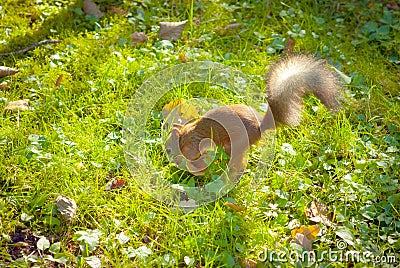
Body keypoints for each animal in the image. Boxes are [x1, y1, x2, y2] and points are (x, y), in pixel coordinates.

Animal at [164, 54, 342, 176]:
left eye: (169, 149)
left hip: (234, 143)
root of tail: (259, 127)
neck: (186, 134)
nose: (167, 160)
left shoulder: (194, 146)